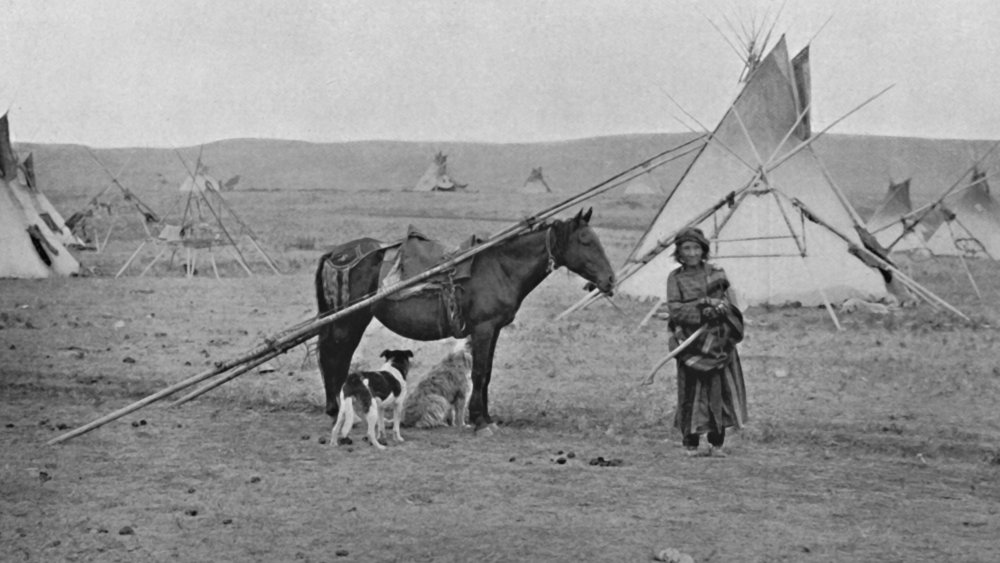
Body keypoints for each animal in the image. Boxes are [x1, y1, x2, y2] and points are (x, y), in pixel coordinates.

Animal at [314, 209, 616, 434]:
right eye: (585, 241)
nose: (610, 280)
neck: (501, 267)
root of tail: (335, 255)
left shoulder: (492, 330)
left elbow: (488, 372)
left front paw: (486, 417)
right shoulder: (483, 329)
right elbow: (479, 373)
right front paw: (480, 422)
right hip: (350, 320)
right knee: (335, 356)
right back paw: (336, 409)